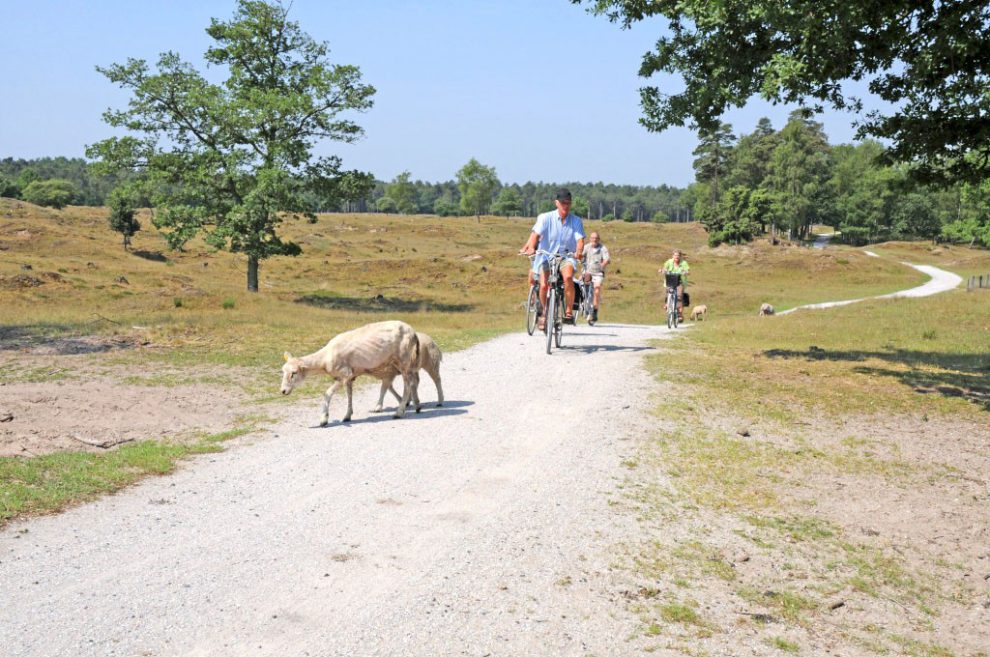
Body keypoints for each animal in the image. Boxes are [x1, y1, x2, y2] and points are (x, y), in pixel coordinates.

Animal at [280, 320, 420, 426]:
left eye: (294, 373)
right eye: (283, 371)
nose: (283, 391)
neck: (324, 359)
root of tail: (412, 331)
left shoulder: (344, 374)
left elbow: (327, 393)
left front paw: (324, 419)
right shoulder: (350, 376)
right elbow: (349, 395)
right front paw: (347, 415)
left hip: (403, 359)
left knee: (408, 385)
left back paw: (400, 412)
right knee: (407, 382)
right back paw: (415, 406)